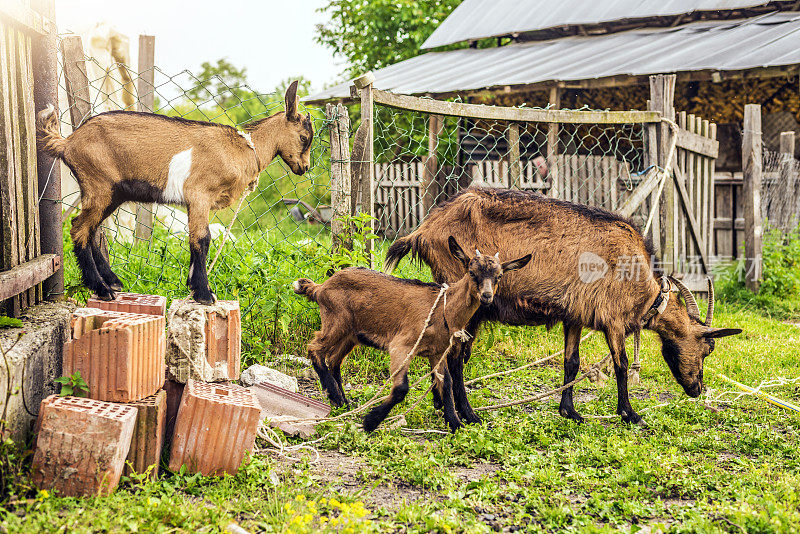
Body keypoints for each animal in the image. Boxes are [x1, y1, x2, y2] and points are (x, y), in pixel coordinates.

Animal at [38, 80, 312, 306]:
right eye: (304, 137)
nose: (304, 168)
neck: (243, 148)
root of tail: (67, 143)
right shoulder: (199, 195)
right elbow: (202, 239)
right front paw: (204, 294)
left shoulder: (197, 202)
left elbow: (197, 239)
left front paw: (193, 287)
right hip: (99, 186)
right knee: (79, 228)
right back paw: (103, 289)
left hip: (112, 194)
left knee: (91, 231)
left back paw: (112, 281)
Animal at [294, 239, 532, 436]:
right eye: (472, 272)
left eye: (499, 276)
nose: (486, 296)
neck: (443, 308)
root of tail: (320, 287)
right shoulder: (401, 345)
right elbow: (401, 388)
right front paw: (371, 421)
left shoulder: (437, 352)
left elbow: (445, 383)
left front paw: (455, 423)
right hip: (336, 321)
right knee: (314, 349)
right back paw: (335, 397)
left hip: (351, 334)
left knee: (334, 360)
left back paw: (343, 402)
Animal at [384, 188, 740, 428]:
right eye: (707, 348)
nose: (696, 388)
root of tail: (424, 229)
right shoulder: (613, 319)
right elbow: (621, 365)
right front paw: (630, 414)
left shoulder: (575, 316)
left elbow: (572, 362)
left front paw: (570, 411)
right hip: (466, 299)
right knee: (455, 357)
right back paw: (466, 414)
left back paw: (440, 405)